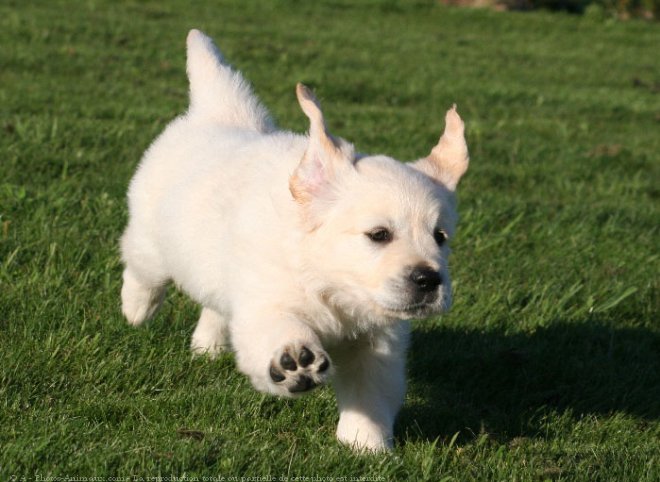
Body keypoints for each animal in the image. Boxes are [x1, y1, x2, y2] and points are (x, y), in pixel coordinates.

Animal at [120, 30, 470, 452]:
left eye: (440, 237)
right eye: (379, 235)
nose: (429, 280)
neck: (331, 286)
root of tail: (219, 114)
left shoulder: (378, 342)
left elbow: (370, 392)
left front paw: (366, 445)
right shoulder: (265, 300)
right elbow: (276, 328)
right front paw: (293, 360)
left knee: (215, 305)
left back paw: (207, 345)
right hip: (151, 237)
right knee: (141, 267)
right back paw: (136, 308)